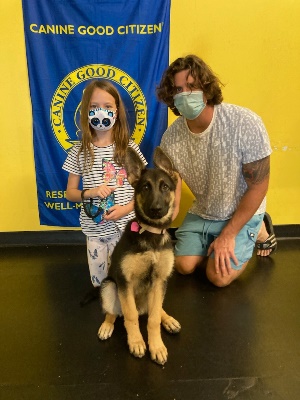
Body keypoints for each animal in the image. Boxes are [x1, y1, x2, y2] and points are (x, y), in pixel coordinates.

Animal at [98, 147, 180, 366]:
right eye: (145, 187)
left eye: (165, 187)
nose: (156, 209)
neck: (151, 234)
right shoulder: (124, 282)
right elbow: (131, 315)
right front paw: (136, 342)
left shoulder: (160, 280)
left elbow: (153, 319)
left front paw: (156, 346)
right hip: (109, 286)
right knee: (114, 312)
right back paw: (107, 325)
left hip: (156, 292)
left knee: (155, 310)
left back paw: (168, 319)